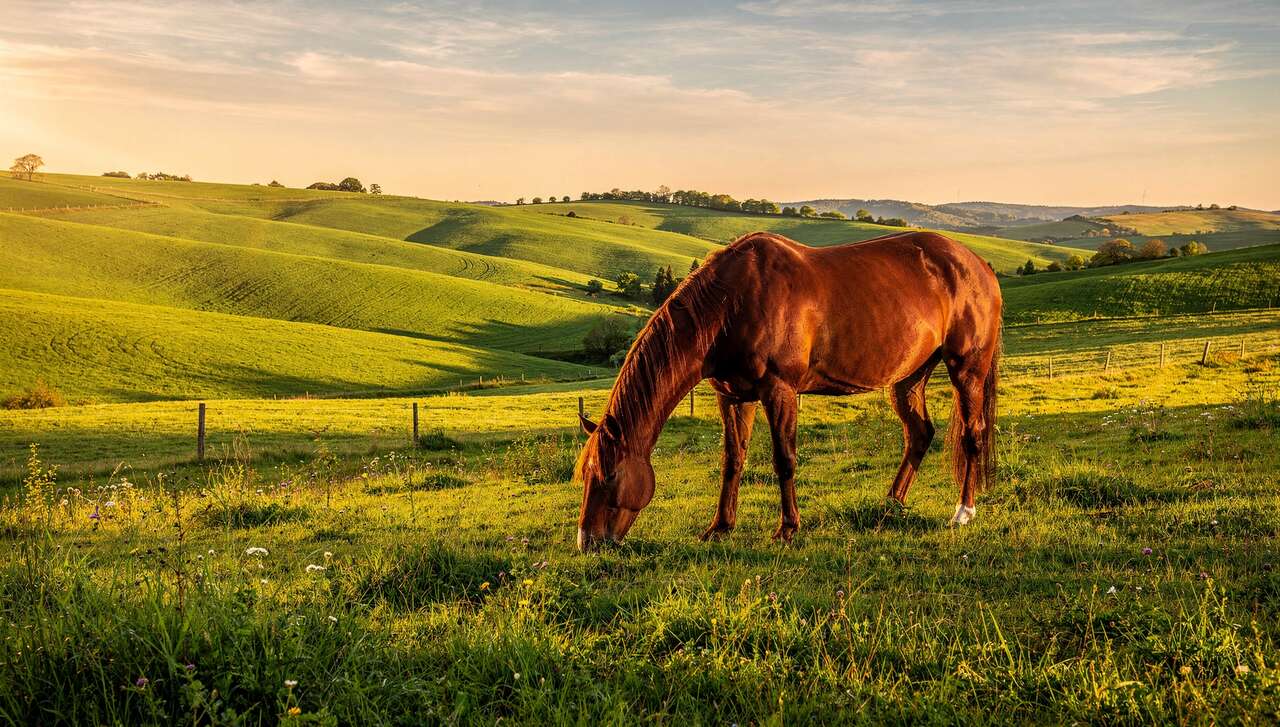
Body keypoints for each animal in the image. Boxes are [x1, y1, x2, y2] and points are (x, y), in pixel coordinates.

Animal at [575, 230, 1002, 552]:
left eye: (609, 475)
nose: (589, 542)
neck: (731, 303)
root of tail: (979, 265)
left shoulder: (778, 391)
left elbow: (785, 459)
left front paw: (788, 528)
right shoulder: (733, 396)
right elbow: (733, 460)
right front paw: (720, 527)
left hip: (967, 369)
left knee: (973, 435)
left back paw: (963, 512)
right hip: (910, 378)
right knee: (919, 434)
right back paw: (891, 504)